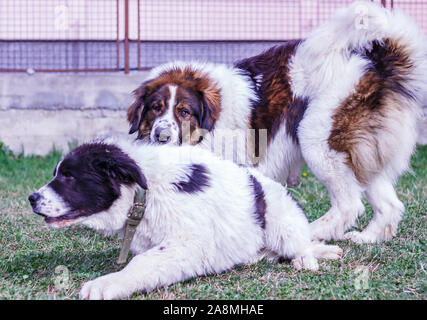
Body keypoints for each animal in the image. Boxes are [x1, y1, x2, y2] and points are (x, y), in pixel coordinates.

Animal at [29, 139, 344, 300]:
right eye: (58, 173)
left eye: (68, 176)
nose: (31, 198)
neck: (146, 192)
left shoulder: (190, 243)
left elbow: (143, 262)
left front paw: (108, 284)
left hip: (282, 223)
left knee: (300, 245)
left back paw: (308, 257)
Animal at [127, 1, 427, 242]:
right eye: (155, 108)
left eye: (184, 112)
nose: (161, 136)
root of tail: (378, 64)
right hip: (361, 155)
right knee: (389, 205)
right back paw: (367, 238)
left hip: (319, 140)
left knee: (349, 204)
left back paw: (312, 232)